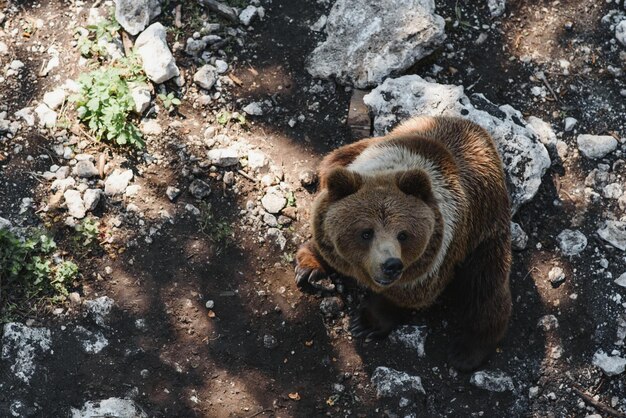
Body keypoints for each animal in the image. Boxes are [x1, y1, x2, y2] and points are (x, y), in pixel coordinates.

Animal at [294, 116, 510, 370]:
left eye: (403, 235)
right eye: (366, 233)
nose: (391, 265)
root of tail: (481, 132)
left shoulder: (439, 257)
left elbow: (409, 295)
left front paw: (366, 323)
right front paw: (310, 270)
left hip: (486, 231)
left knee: (486, 287)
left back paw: (467, 351)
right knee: (332, 160)